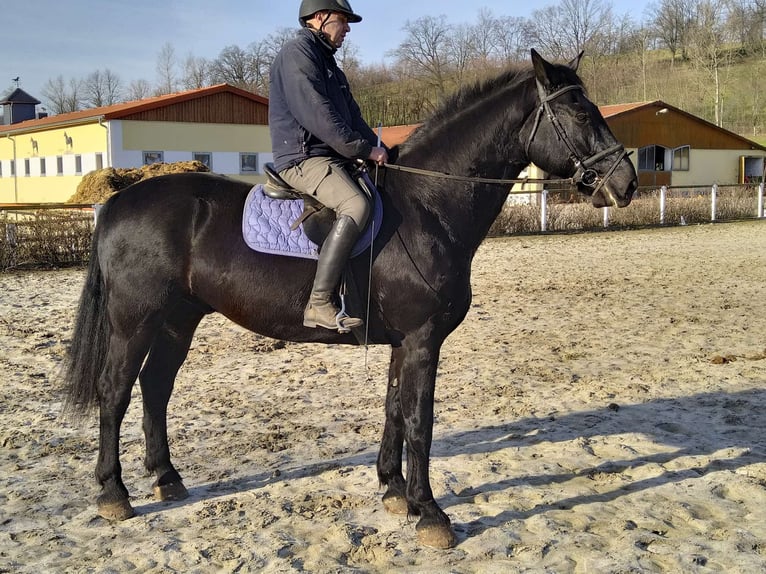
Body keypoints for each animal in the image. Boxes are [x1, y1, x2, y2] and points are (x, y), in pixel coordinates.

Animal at [63, 51, 640, 552]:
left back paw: (166, 478)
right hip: (135, 321)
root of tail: (119, 200)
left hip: (177, 321)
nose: (626, 183)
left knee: (155, 388)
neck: (427, 206)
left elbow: (394, 409)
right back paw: (114, 493)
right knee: (116, 392)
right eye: (578, 112)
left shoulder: (405, 341)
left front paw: (394, 492)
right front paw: (430, 514)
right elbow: (420, 421)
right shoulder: (423, 339)